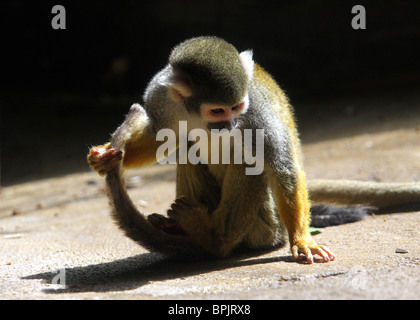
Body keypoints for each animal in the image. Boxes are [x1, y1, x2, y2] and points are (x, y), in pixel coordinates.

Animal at [86, 36, 420, 264]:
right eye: (218, 110)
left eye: (237, 107)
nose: (231, 123)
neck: (195, 114)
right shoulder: (159, 94)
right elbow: (160, 136)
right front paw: (105, 157)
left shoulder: (254, 109)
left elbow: (280, 166)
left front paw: (303, 241)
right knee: (189, 148)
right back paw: (186, 230)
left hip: (266, 227)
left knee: (249, 160)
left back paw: (213, 239)